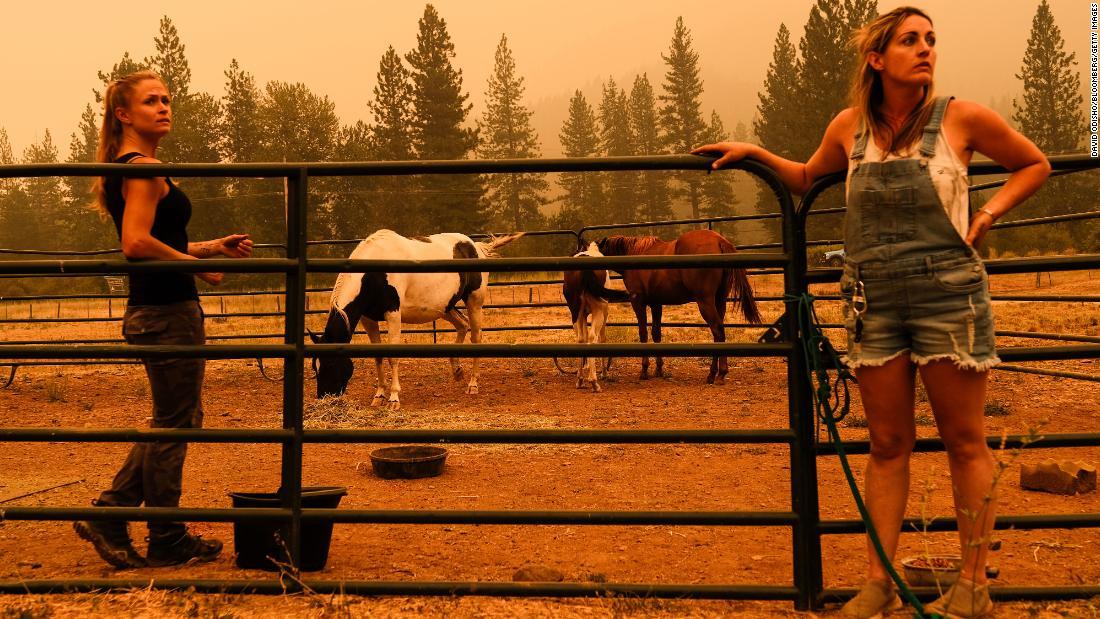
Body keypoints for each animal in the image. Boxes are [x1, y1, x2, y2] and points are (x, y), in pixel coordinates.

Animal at [312, 229, 525, 409]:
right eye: (315, 366)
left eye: (330, 364)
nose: (324, 397)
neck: (374, 273)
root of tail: (475, 246)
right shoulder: (368, 319)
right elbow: (378, 356)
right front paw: (379, 396)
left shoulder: (393, 315)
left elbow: (392, 357)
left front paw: (394, 398)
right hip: (446, 307)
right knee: (462, 325)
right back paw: (457, 371)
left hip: (474, 303)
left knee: (475, 337)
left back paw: (473, 385)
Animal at [598, 229, 761, 384]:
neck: (635, 254)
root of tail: (719, 240)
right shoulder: (656, 304)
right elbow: (656, 334)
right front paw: (659, 369)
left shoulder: (638, 302)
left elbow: (643, 334)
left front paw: (644, 371)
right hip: (719, 301)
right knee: (719, 334)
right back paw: (717, 373)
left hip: (705, 302)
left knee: (718, 331)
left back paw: (715, 374)